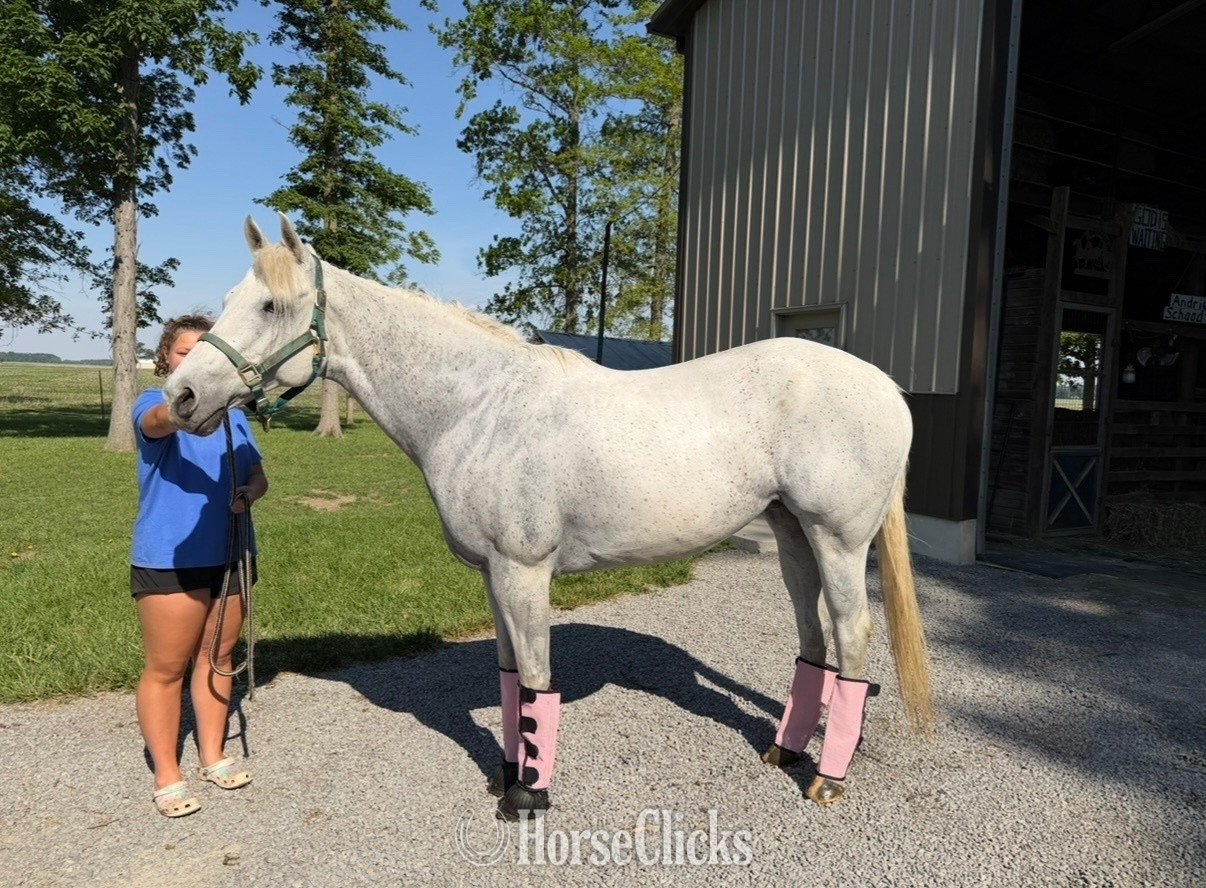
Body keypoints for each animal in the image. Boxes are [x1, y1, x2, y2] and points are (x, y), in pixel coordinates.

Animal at [165, 214, 934, 818]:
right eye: (231, 299)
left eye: (270, 305)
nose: (180, 395)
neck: (478, 407)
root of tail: (885, 387)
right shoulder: (492, 575)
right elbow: (509, 681)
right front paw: (507, 777)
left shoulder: (525, 571)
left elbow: (536, 682)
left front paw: (528, 796)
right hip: (791, 533)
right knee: (813, 640)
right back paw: (783, 752)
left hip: (838, 540)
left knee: (853, 637)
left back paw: (829, 779)